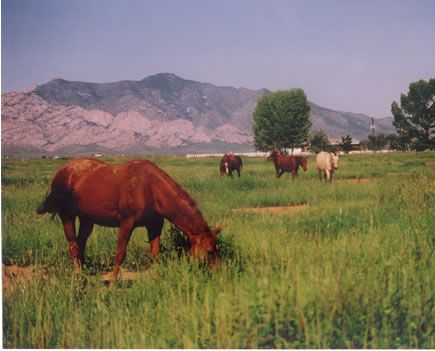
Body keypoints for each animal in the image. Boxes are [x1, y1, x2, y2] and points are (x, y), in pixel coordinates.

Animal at [35, 158, 221, 280]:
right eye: (210, 252)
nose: (220, 274)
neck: (150, 188)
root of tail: (63, 170)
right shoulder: (126, 224)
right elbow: (120, 253)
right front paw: (113, 283)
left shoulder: (155, 225)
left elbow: (155, 252)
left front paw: (156, 276)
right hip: (67, 216)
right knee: (73, 246)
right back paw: (79, 275)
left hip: (87, 219)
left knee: (81, 244)